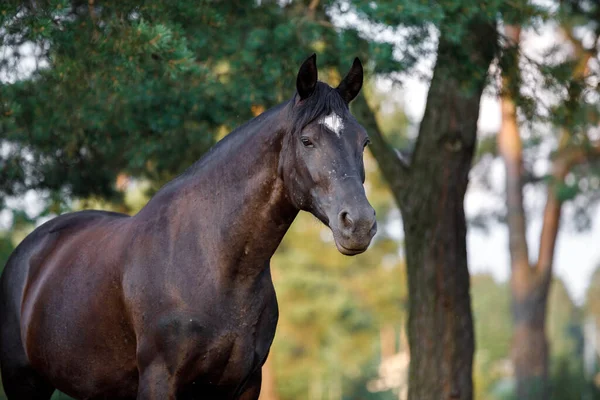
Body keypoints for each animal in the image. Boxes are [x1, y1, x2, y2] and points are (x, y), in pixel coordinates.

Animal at [0, 54, 376, 400]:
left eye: (364, 141)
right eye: (307, 140)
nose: (359, 223)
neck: (215, 265)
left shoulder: (245, 385)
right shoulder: (160, 380)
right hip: (25, 383)